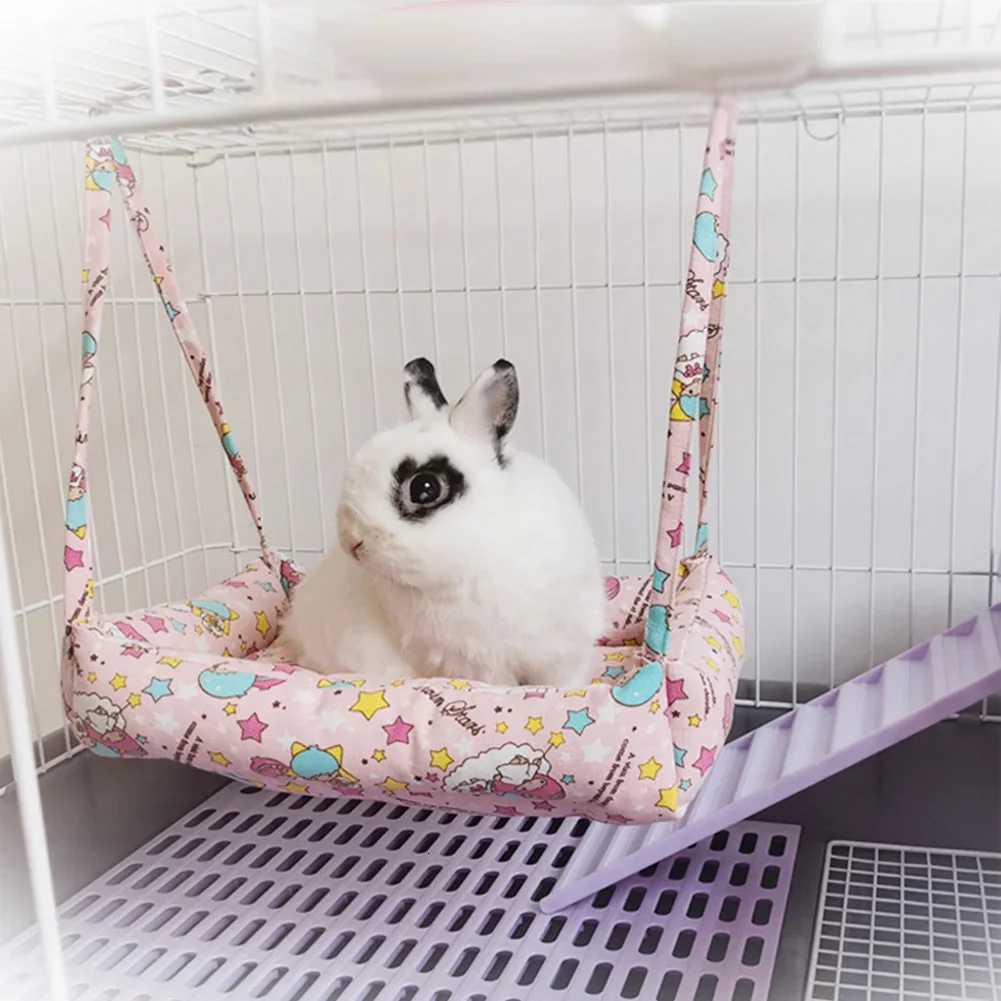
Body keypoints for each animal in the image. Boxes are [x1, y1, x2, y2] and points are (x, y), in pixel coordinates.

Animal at [270, 357, 605, 688]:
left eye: (425, 488)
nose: (353, 542)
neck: (487, 549)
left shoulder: (563, 650)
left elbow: (564, 682)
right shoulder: (473, 661)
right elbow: (500, 687)